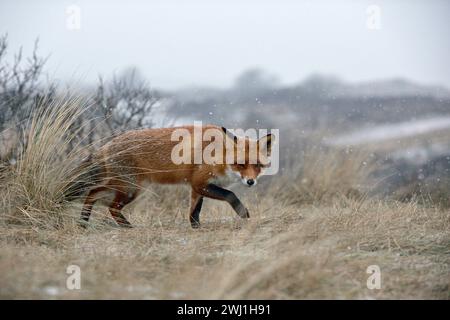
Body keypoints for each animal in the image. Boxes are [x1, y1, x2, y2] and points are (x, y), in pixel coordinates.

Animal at [68, 125, 272, 228]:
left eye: (257, 165)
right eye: (241, 164)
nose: (250, 182)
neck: (217, 154)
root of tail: (107, 144)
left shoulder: (197, 186)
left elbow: (194, 211)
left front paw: (195, 227)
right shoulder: (199, 182)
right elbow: (230, 195)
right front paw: (243, 213)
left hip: (125, 187)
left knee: (93, 194)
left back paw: (83, 223)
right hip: (130, 189)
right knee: (110, 206)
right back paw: (128, 227)